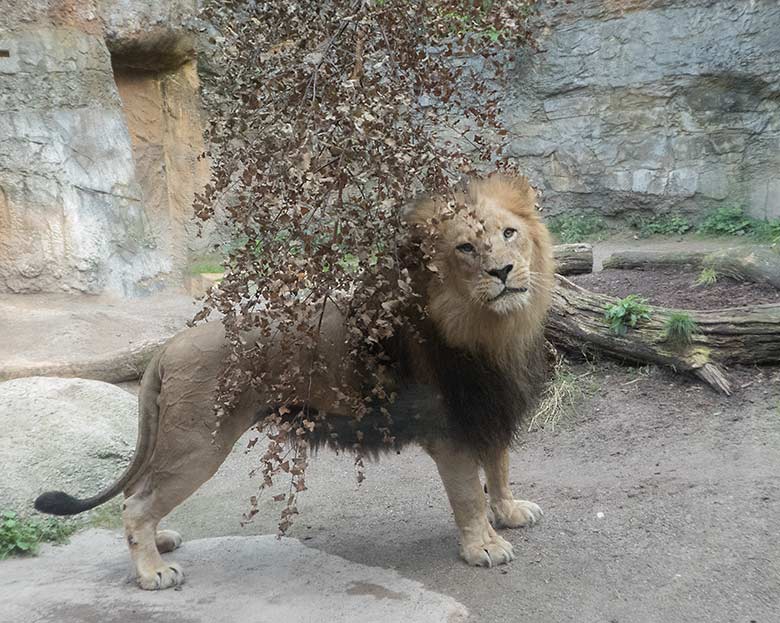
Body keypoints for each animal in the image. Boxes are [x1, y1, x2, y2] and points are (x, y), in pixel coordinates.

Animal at [35, 174, 556, 588]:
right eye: (465, 247)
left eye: (509, 233)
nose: (503, 271)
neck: (494, 329)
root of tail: (168, 345)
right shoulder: (448, 427)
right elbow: (469, 493)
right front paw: (483, 547)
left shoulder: (492, 408)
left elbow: (500, 467)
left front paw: (509, 513)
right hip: (197, 443)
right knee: (136, 503)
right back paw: (152, 571)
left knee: (135, 491)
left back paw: (158, 541)